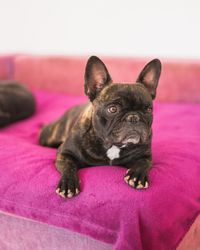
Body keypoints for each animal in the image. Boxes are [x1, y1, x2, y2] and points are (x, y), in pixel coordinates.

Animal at [39, 55, 161, 198]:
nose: (133, 117)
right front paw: (68, 184)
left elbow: (143, 163)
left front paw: (137, 176)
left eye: (148, 110)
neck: (113, 146)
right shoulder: (64, 153)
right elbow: (69, 166)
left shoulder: (145, 155)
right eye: (113, 109)